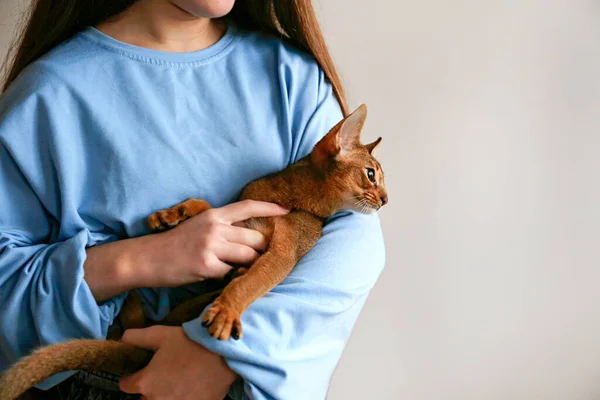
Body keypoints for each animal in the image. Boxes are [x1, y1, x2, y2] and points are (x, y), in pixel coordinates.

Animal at [0, 104, 386, 400]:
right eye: (371, 174)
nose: (385, 199)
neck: (289, 198)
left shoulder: (285, 253)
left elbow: (253, 281)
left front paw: (229, 309)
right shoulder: (239, 216)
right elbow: (208, 207)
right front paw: (174, 213)